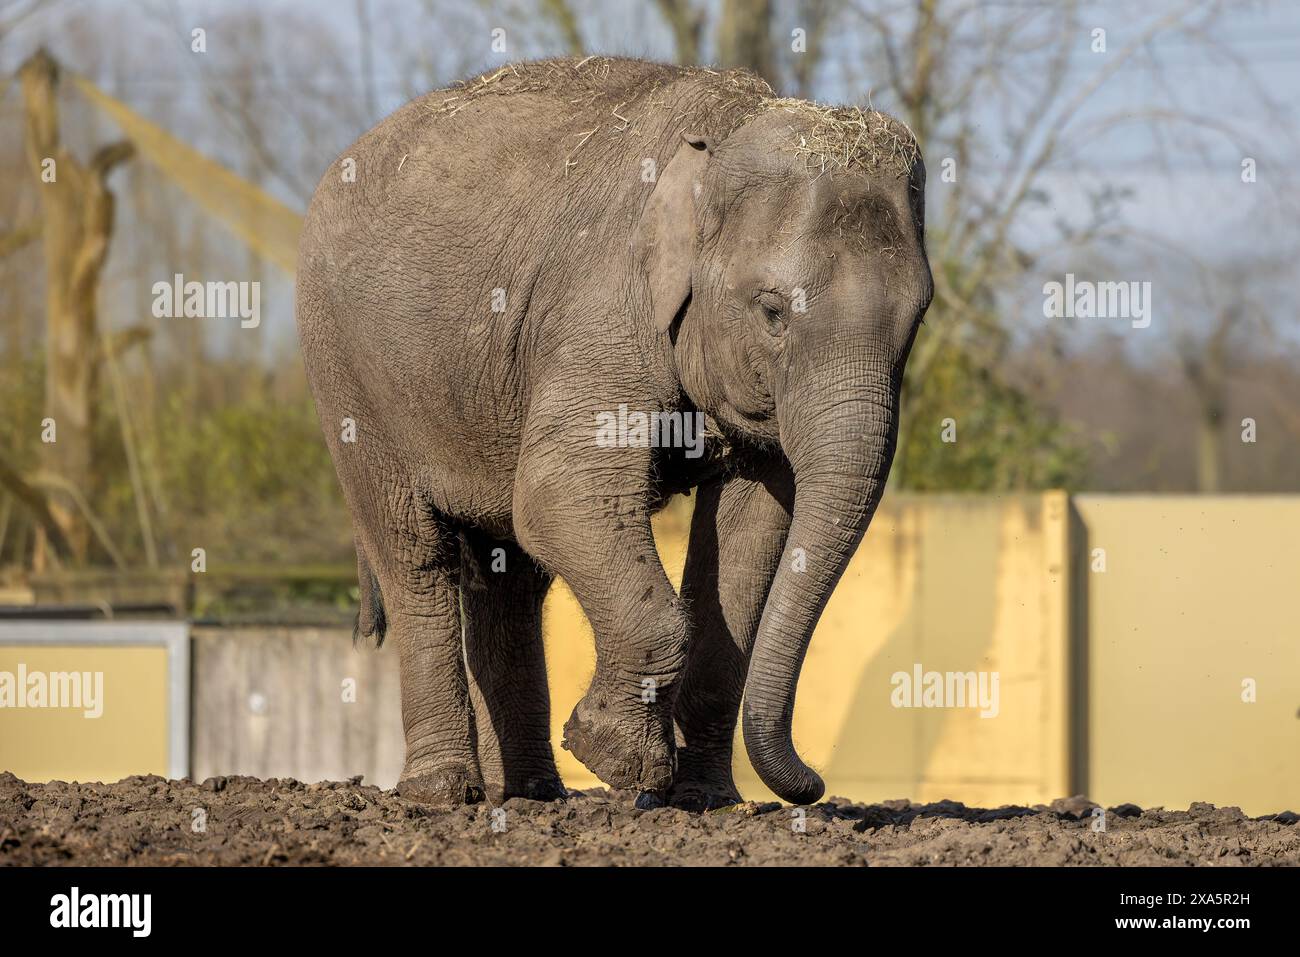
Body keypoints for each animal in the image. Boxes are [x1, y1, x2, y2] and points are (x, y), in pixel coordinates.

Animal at [296, 56, 932, 809]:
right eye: (773, 311)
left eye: (918, 319)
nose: (813, 785)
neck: (723, 135)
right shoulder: (604, 303)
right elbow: (558, 494)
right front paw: (617, 758)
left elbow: (752, 528)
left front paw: (704, 799)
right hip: (347, 375)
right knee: (416, 557)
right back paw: (445, 792)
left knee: (509, 578)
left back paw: (532, 794)